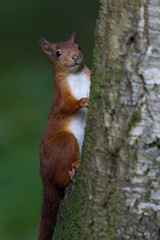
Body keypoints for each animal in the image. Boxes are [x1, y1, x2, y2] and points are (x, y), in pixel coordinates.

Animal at [36, 31, 90, 239]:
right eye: (58, 53)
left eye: (79, 47)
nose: (75, 57)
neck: (76, 75)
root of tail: (44, 174)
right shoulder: (59, 94)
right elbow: (66, 106)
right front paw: (83, 101)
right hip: (65, 144)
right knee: (60, 180)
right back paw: (71, 170)